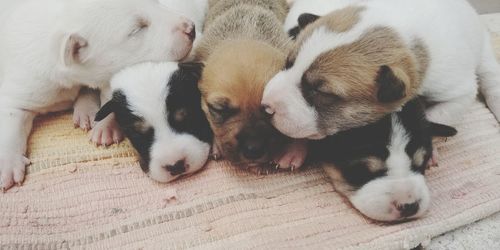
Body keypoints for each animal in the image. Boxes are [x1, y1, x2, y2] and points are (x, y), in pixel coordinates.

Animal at [0, 0, 199, 191]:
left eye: (157, 2)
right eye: (136, 30)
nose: (191, 28)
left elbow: (107, 95)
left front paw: (105, 127)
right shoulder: (20, 89)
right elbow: (10, 124)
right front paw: (7, 166)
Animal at [262, 0, 500, 141]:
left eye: (320, 92)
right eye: (288, 63)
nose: (266, 107)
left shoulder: (458, 91)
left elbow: (440, 114)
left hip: (483, 51)